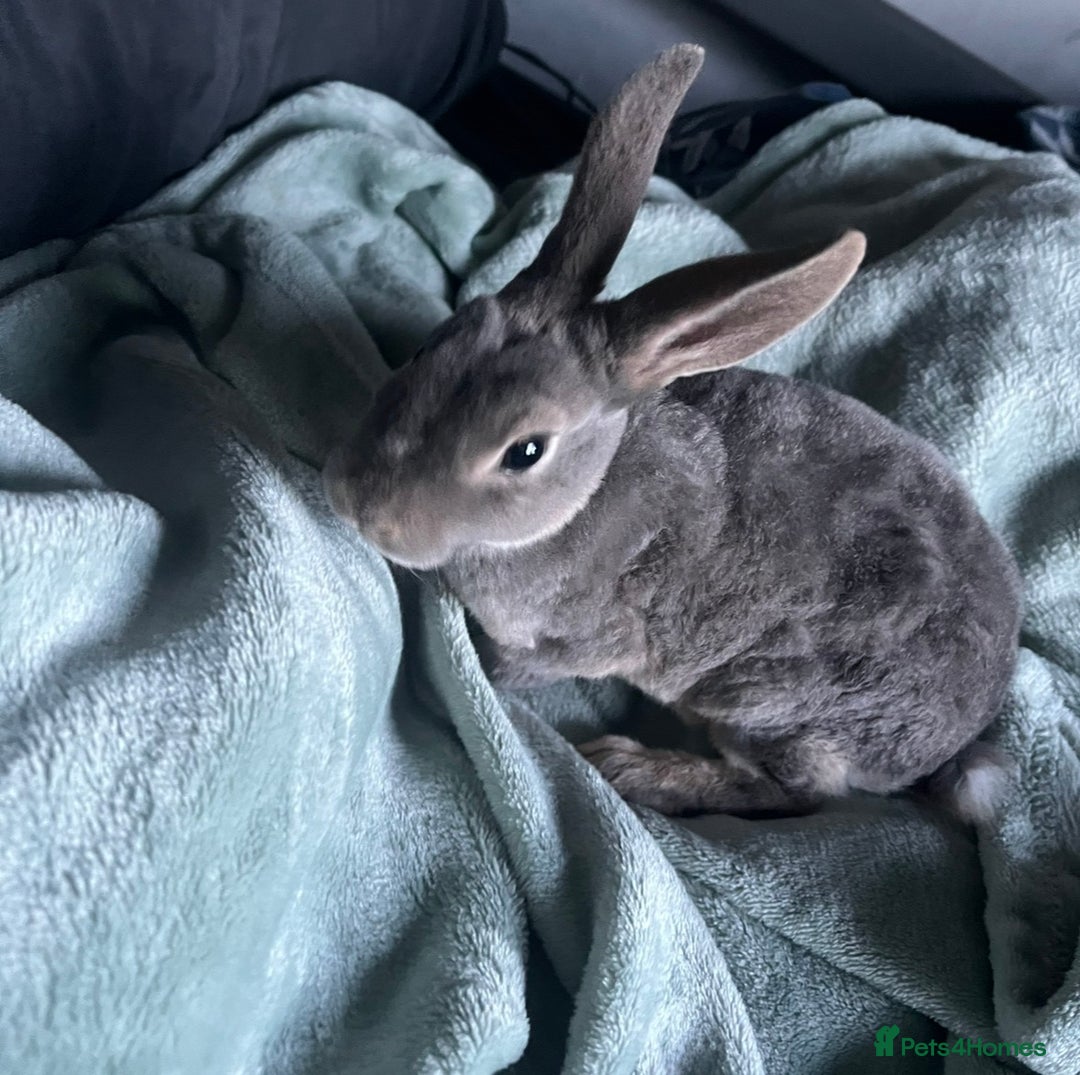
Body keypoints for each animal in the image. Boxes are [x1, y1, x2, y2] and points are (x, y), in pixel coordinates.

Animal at [323, 43, 1023, 822]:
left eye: (526, 451)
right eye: (426, 351)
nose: (361, 508)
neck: (580, 498)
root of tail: (954, 742)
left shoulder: (602, 637)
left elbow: (535, 663)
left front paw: (496, 674)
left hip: (768, 698)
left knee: (793, 792)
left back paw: (633, 769)